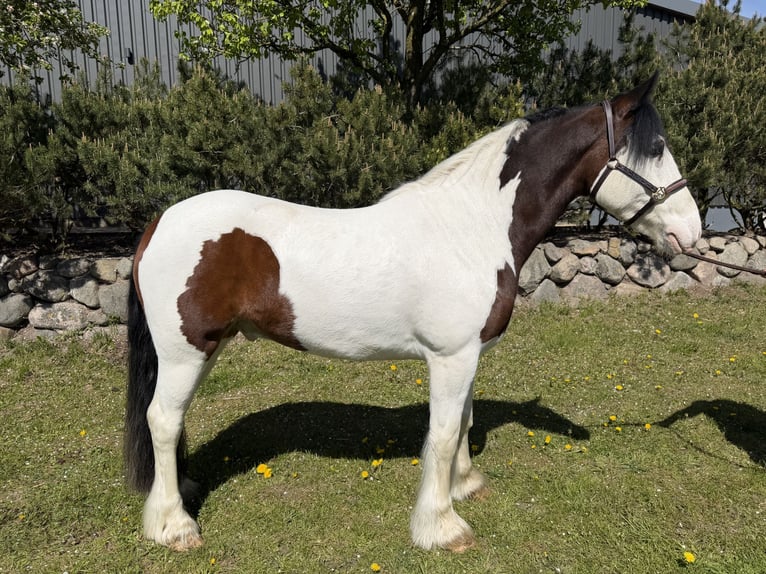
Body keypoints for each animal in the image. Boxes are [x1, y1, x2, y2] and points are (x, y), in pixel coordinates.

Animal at [124, 73, 701, 552]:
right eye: (657, 148)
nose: (691, 232)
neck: (472, 226)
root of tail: (161, 220)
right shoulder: (451, 357)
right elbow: (443, 435)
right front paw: (442, 527)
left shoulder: (470, 355)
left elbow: (464, 419)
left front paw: (465, 485)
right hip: (185, 351)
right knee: (162, 420)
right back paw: (173, 524)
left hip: (204, 349)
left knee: (173, 420)